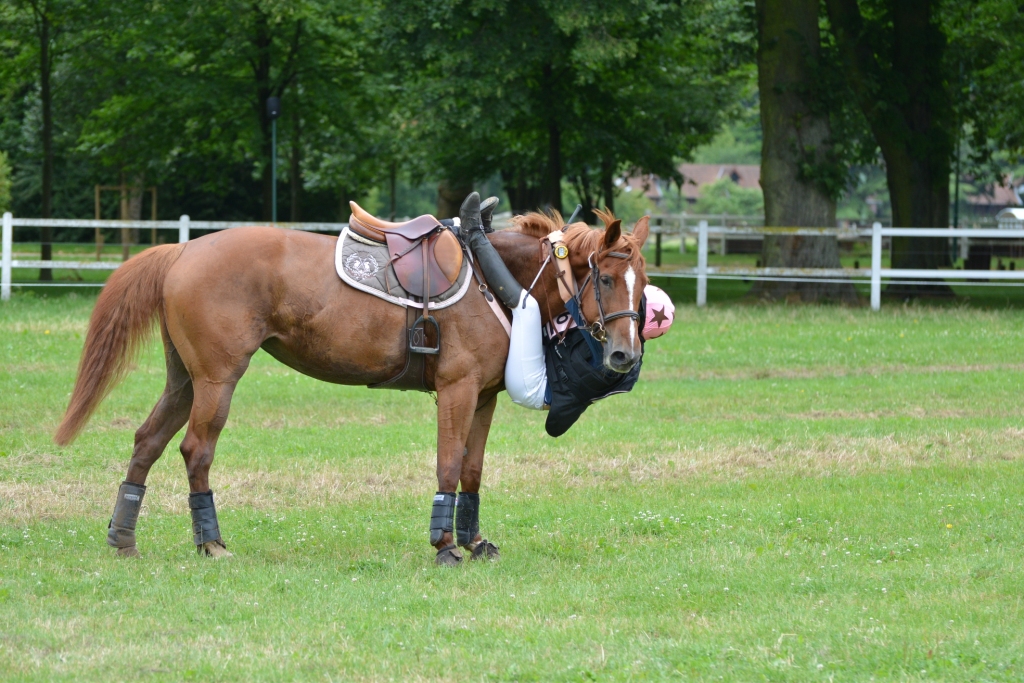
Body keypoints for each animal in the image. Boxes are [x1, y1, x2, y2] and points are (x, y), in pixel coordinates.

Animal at [54, 210, 647, 565]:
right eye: (606, 278)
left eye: (641, 282)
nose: (625, 354)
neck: (491, 274)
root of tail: (181, 252)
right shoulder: (456, 391)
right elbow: (448, 465)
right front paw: (444, 545)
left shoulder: (482, 397)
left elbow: (473, 470)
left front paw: (474, 539)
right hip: (217, 380)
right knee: (195, 450)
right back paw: (211, 542)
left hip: (185, 381)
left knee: (146, 442)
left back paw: (123, 538)